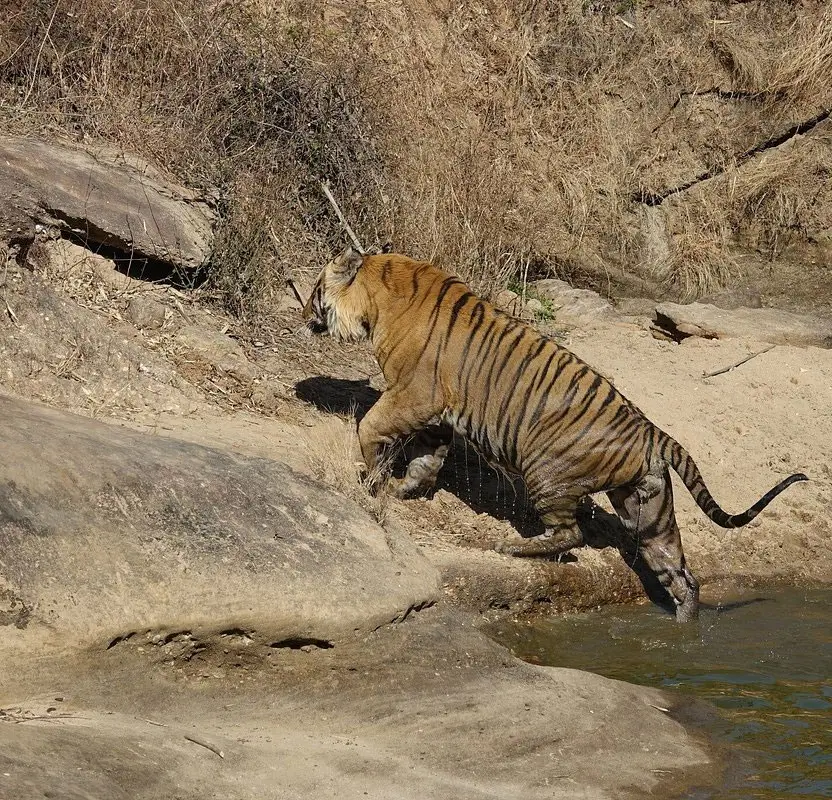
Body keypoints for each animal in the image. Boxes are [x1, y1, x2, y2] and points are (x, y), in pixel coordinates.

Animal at [302, 246, 808, 622]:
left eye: (314, 289)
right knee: (682, 575)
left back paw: (511, 545)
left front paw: (371, 477)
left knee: (572, 535)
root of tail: (651, 431)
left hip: (546, 473)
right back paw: (684, 629)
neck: (380, 293)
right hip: (647, 511)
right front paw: (402, 489)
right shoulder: (437, 415)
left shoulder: (414, 394)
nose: (303, 310)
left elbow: (372, 425)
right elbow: (428, 459)